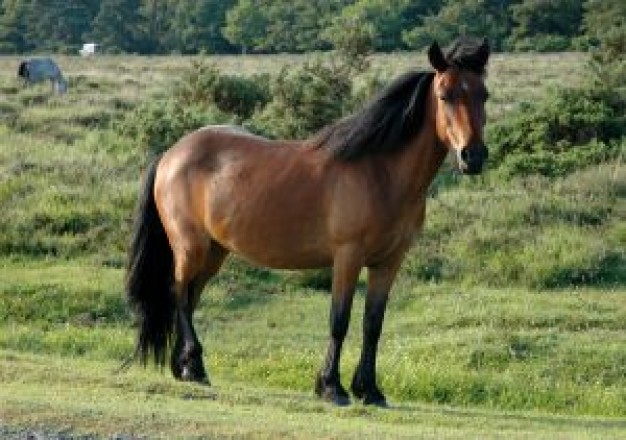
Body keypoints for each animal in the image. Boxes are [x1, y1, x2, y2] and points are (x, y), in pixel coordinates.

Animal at [125, 37, 488, 406]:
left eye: (483, 94)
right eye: (445, 95)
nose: (473, 157)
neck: (380, 173)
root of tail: (171, 154)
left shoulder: (389, 262)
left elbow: (373, 325)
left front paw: (370, 390)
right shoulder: (348, 257)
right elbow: (339, 320)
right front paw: (331, 387)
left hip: (214, 251)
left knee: (189, 297)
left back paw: (184, 367)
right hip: (190, 246)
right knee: (179, 294)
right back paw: (194, 365)